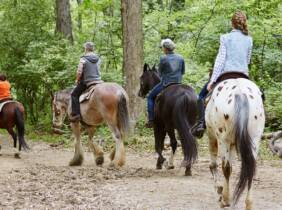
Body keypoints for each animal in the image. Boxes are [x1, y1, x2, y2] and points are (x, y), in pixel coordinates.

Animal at [206, 78, 266, 210]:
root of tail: (240, 92)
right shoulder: (233, 144)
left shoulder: (212, 136)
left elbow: (214, 164)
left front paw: (220, 191)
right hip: (254, 139)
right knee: (250, 169)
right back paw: (248, 204)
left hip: (223, 140)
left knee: (225, 168)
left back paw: (225, 199)